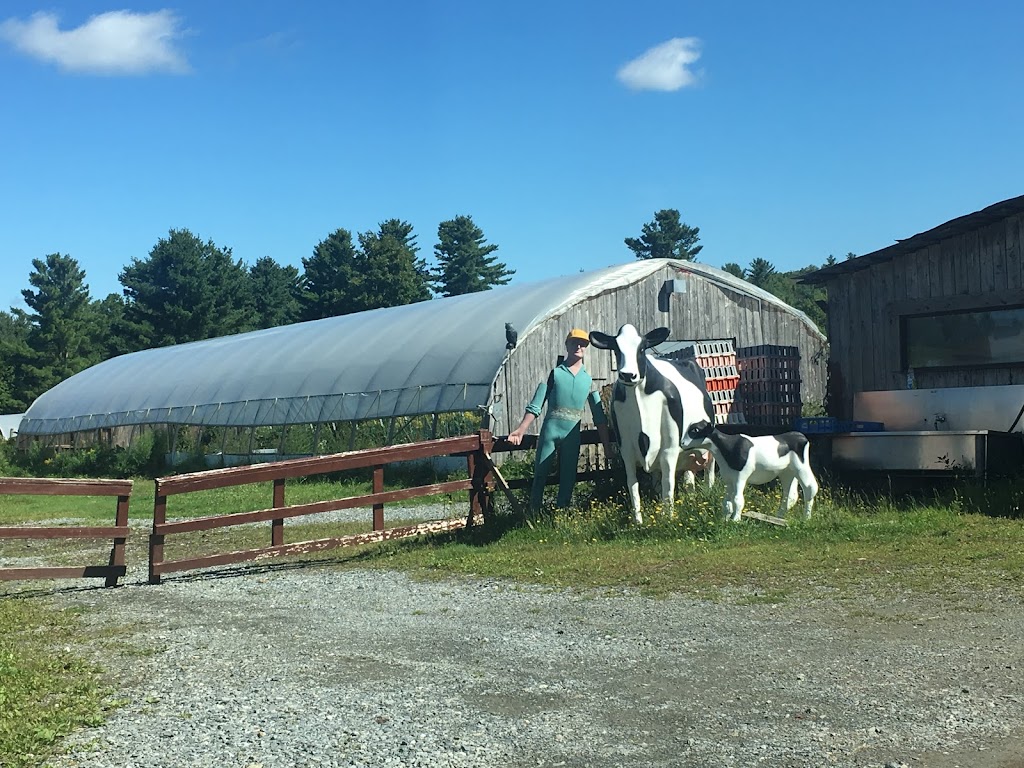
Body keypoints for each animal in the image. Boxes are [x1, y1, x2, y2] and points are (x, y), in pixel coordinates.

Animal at [589, 325, 716, 524]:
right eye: (616, 349)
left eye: (642, 348)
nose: (628, 375)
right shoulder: (626, 449)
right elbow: (633, 484)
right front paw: (638, 521)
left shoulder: (670, 448)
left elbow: (668, 483)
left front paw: (668, 519)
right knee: (687, 474)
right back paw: (690, 497)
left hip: (708, 436)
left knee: (710, 465)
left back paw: (709, 492)